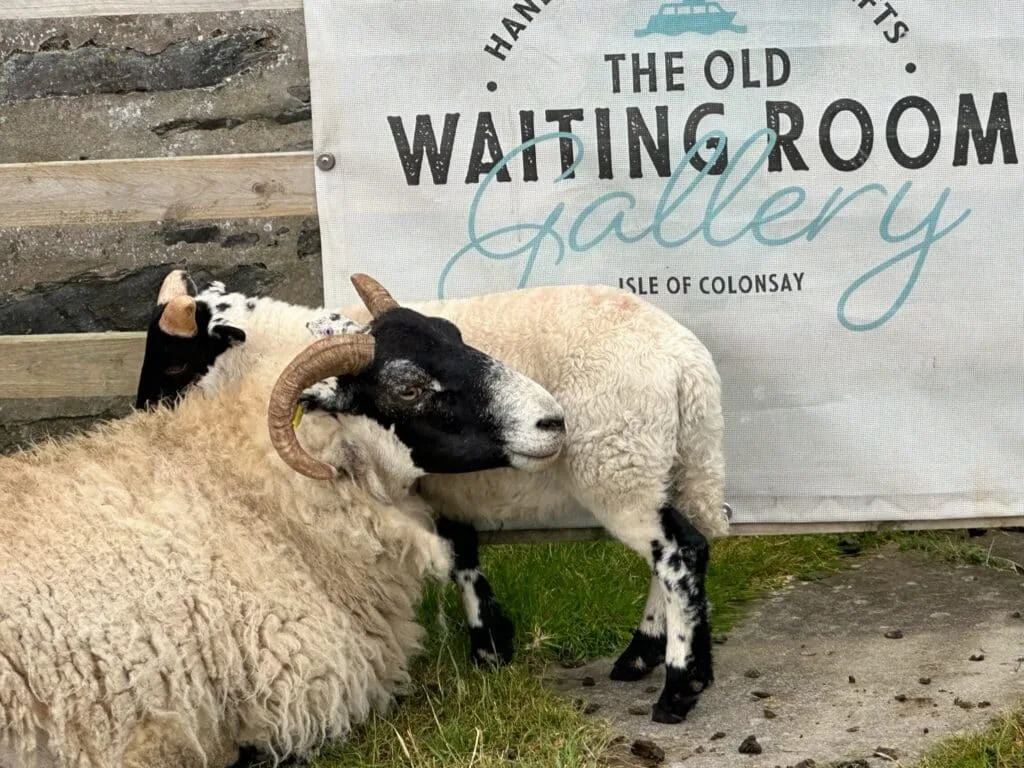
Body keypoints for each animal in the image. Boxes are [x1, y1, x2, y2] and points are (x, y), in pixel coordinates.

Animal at [139, 272, 728, 726]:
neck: (278, 351)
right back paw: (647, 657)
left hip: (618, 467)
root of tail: (688, 365)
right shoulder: (444, 490)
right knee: (679, 549)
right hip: (665, 465)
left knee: (681, 551)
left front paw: (486, 650)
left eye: (175, 365)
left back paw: (677, 687)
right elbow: (462, 552)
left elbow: (456, 557)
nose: (144, 413)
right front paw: (493, 645)